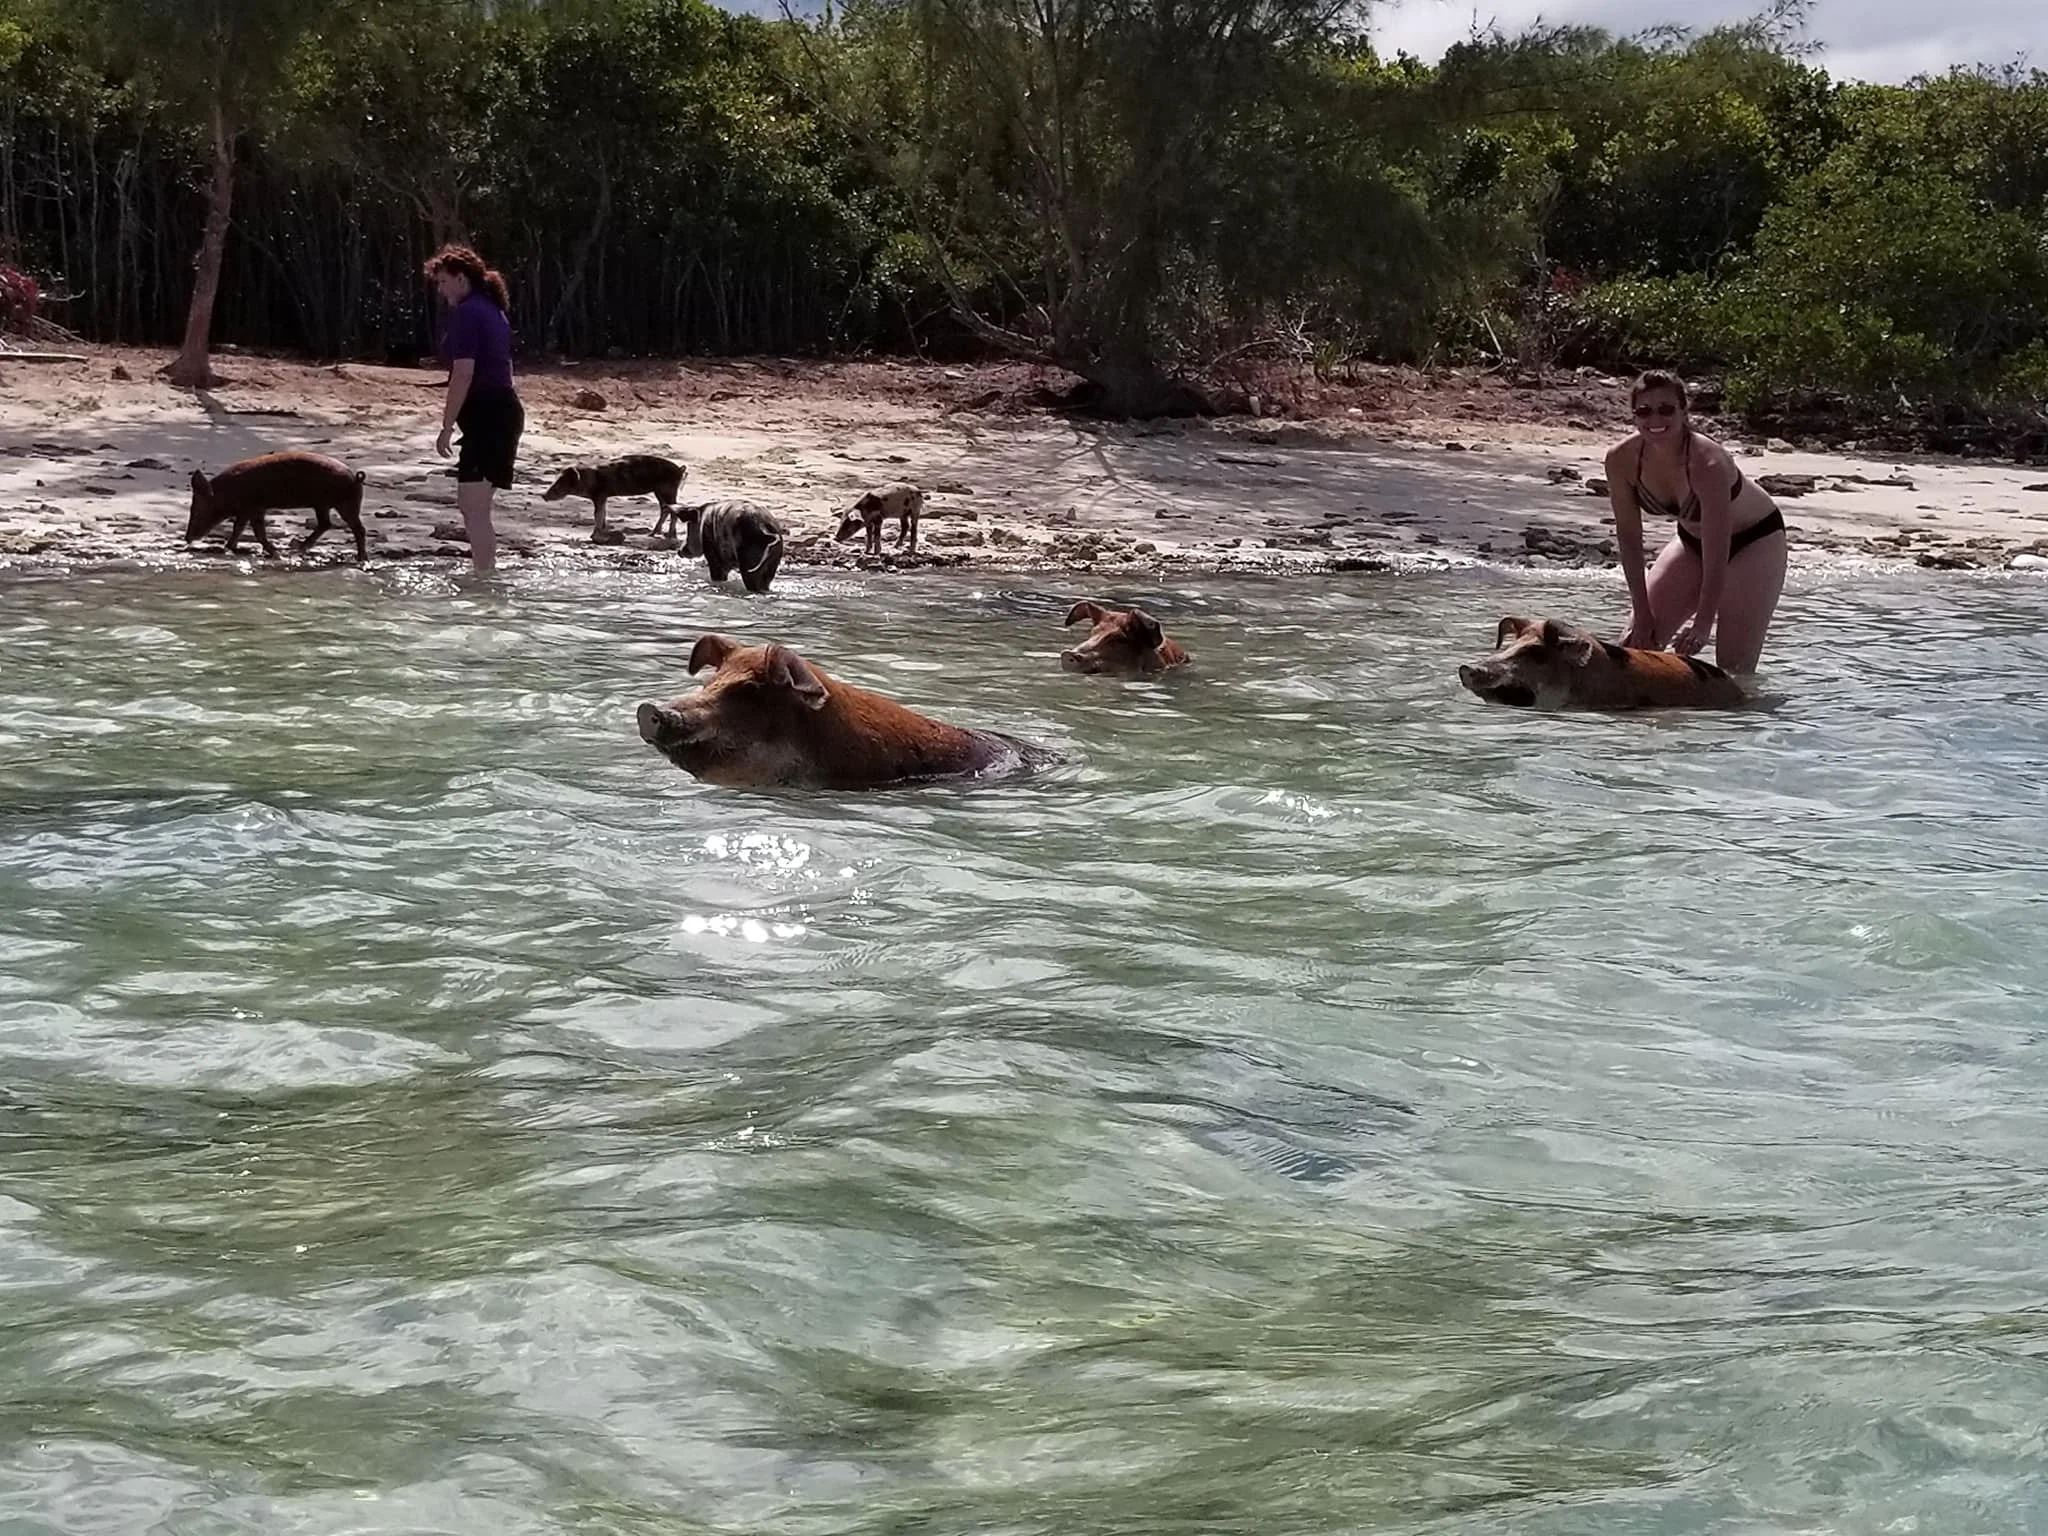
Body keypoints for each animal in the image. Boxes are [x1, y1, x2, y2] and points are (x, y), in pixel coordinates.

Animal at [186, 451, 368, 563]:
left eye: (198, 509)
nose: (187, 538)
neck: (227, 492)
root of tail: (356, 477)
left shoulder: (255, 507)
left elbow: (258, 532)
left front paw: (276, 555)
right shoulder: (246, 510)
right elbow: (238, 528)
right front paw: (229, 548)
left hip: (345, 504)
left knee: (358, 528)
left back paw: (362, 558)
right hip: (323, 505)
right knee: (326, 524)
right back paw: (298, 550)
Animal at [541, 455, 687, 544]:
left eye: (560, 483)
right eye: (555, 479)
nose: (543, 495)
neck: (588, 479)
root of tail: (680, 470)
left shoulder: (599, 495)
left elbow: (598, 514)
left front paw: (595, 536)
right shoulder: (603, 497)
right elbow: (603, 513)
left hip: (668, 490)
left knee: (673, 509)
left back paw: (669, 536)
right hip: (660, 492)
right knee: (665, 509)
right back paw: (652, 534)